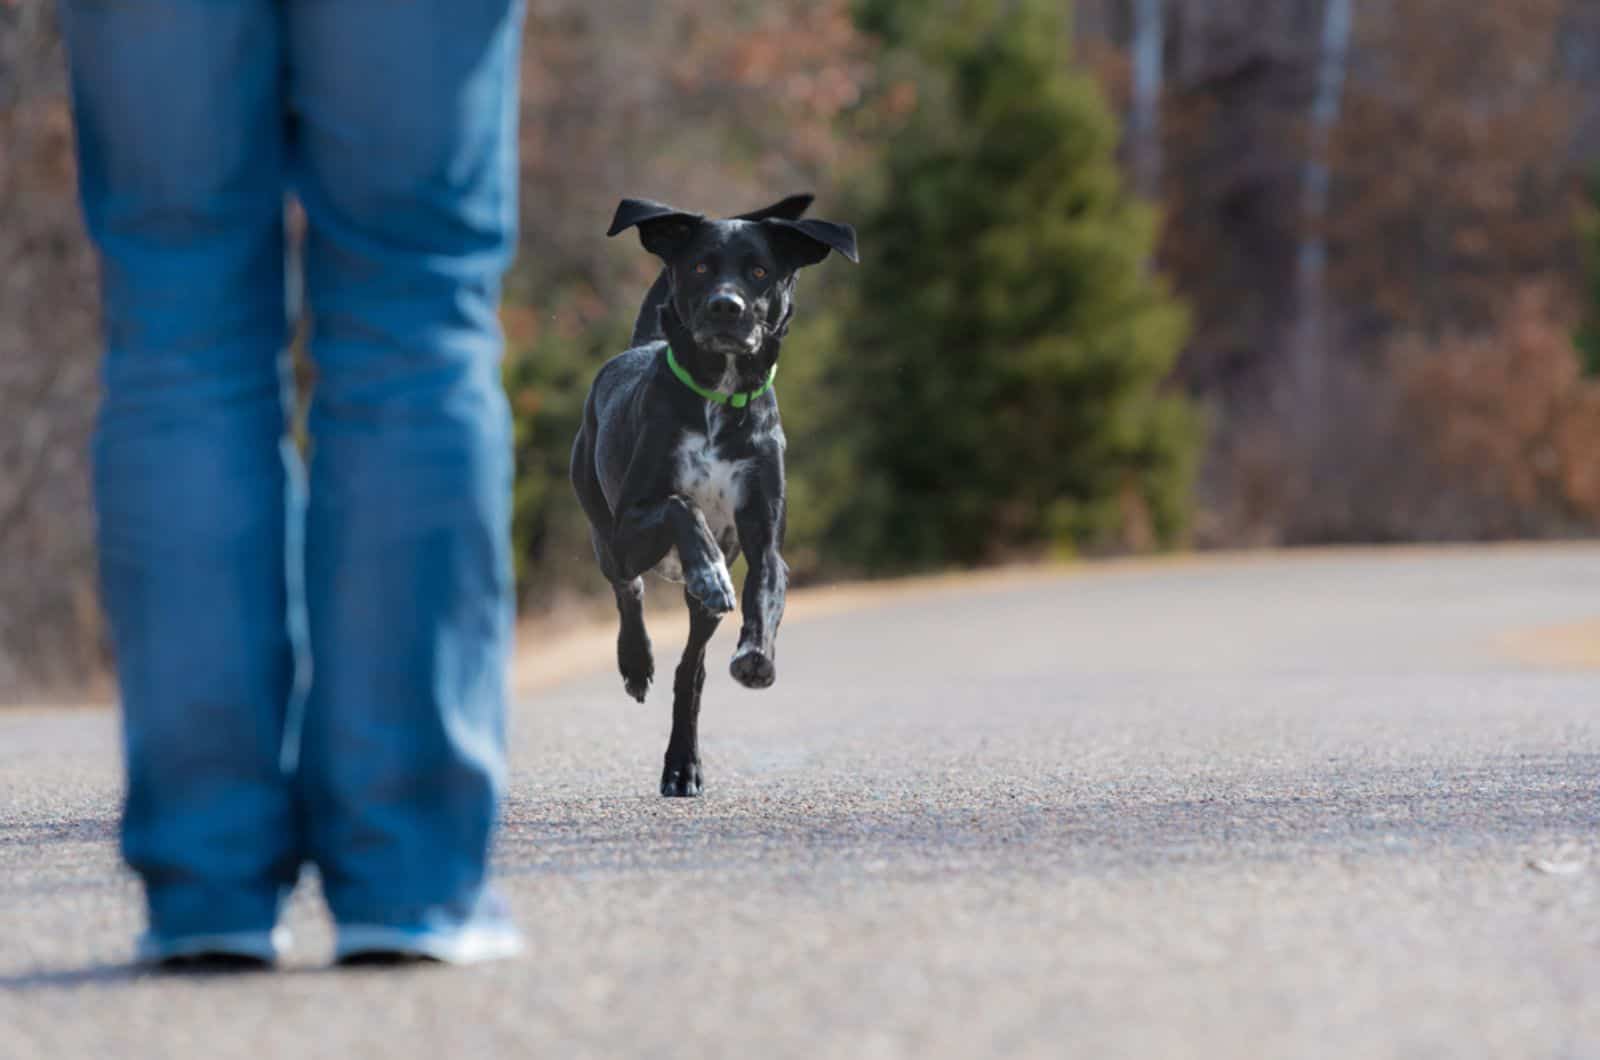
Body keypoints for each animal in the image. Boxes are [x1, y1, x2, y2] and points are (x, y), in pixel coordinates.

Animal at [569, 196, 857, 797]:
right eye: (700, 266)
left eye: (760, 272)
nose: (728, 307)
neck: (718, 396)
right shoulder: (631, 525)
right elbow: (682, 506)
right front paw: (705, 572)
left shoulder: (766, 541)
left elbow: (765, 592)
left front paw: (755, 655)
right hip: (605, 534)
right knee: (627, 590)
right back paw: (637, 661)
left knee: (691, 672)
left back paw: (683, 766)